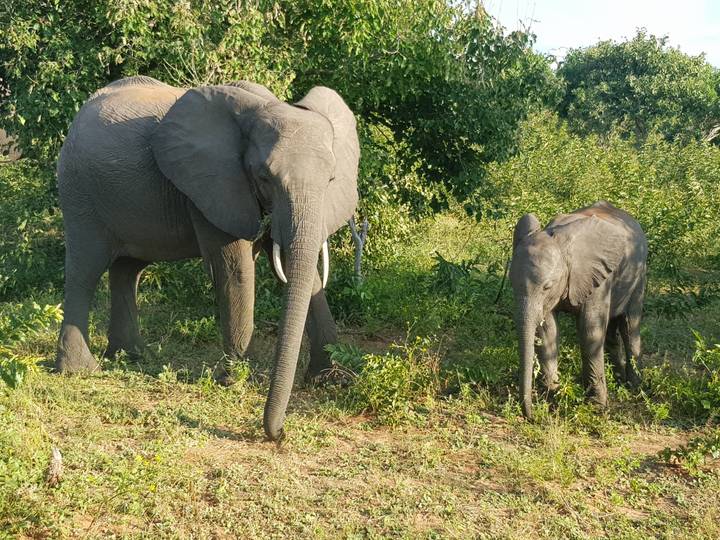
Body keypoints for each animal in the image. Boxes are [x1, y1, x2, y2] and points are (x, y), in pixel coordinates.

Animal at [55, 75, 359, 440]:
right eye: (263, 177)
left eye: (331, 179)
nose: (279, 434)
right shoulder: (214, 187)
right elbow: (234, 269)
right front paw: (233, 381)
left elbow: (300, 267)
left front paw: (331, 380)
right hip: (79, 191)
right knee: (85, 270)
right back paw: (79, 370)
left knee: (127, 270)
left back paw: (130, 358)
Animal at [509, 201, 647, 419]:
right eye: (512, 285)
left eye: (547, 286)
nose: (532, 416)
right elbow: (547, 330)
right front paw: (552, 394)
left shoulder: (597, 278)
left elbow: (590, 330)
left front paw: (597, 407)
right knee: (612, 330)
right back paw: (618, 380)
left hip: (638, 274)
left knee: (630, 324)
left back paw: (634, 388)